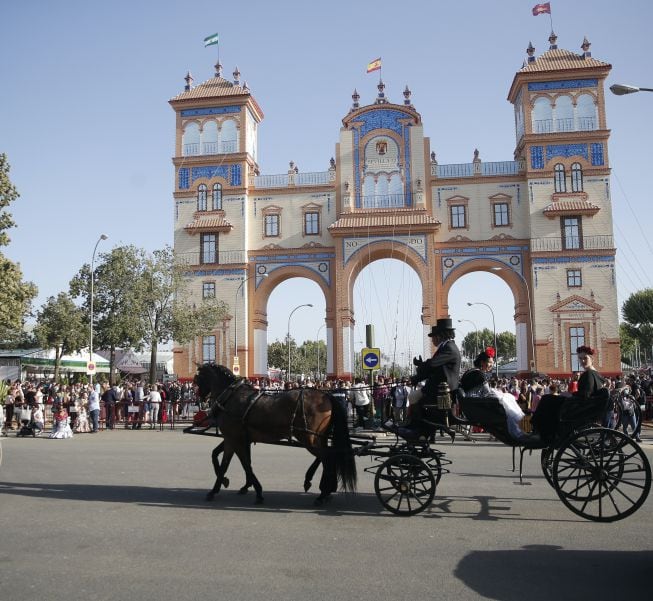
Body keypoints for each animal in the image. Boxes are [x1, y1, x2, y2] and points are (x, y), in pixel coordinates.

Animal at [194, 364, 356, 504]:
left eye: (198, 378)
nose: (200, 398)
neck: (230, 397)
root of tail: (326, 396)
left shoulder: (233, 439)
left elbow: (236, 464)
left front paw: (219, 489)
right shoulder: (235, 439)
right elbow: (221, 457)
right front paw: (234, 484)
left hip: (308, 438)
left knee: (327, 458)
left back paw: (323, 493)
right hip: (317, 438)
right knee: (327, 456)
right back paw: (322, 488)